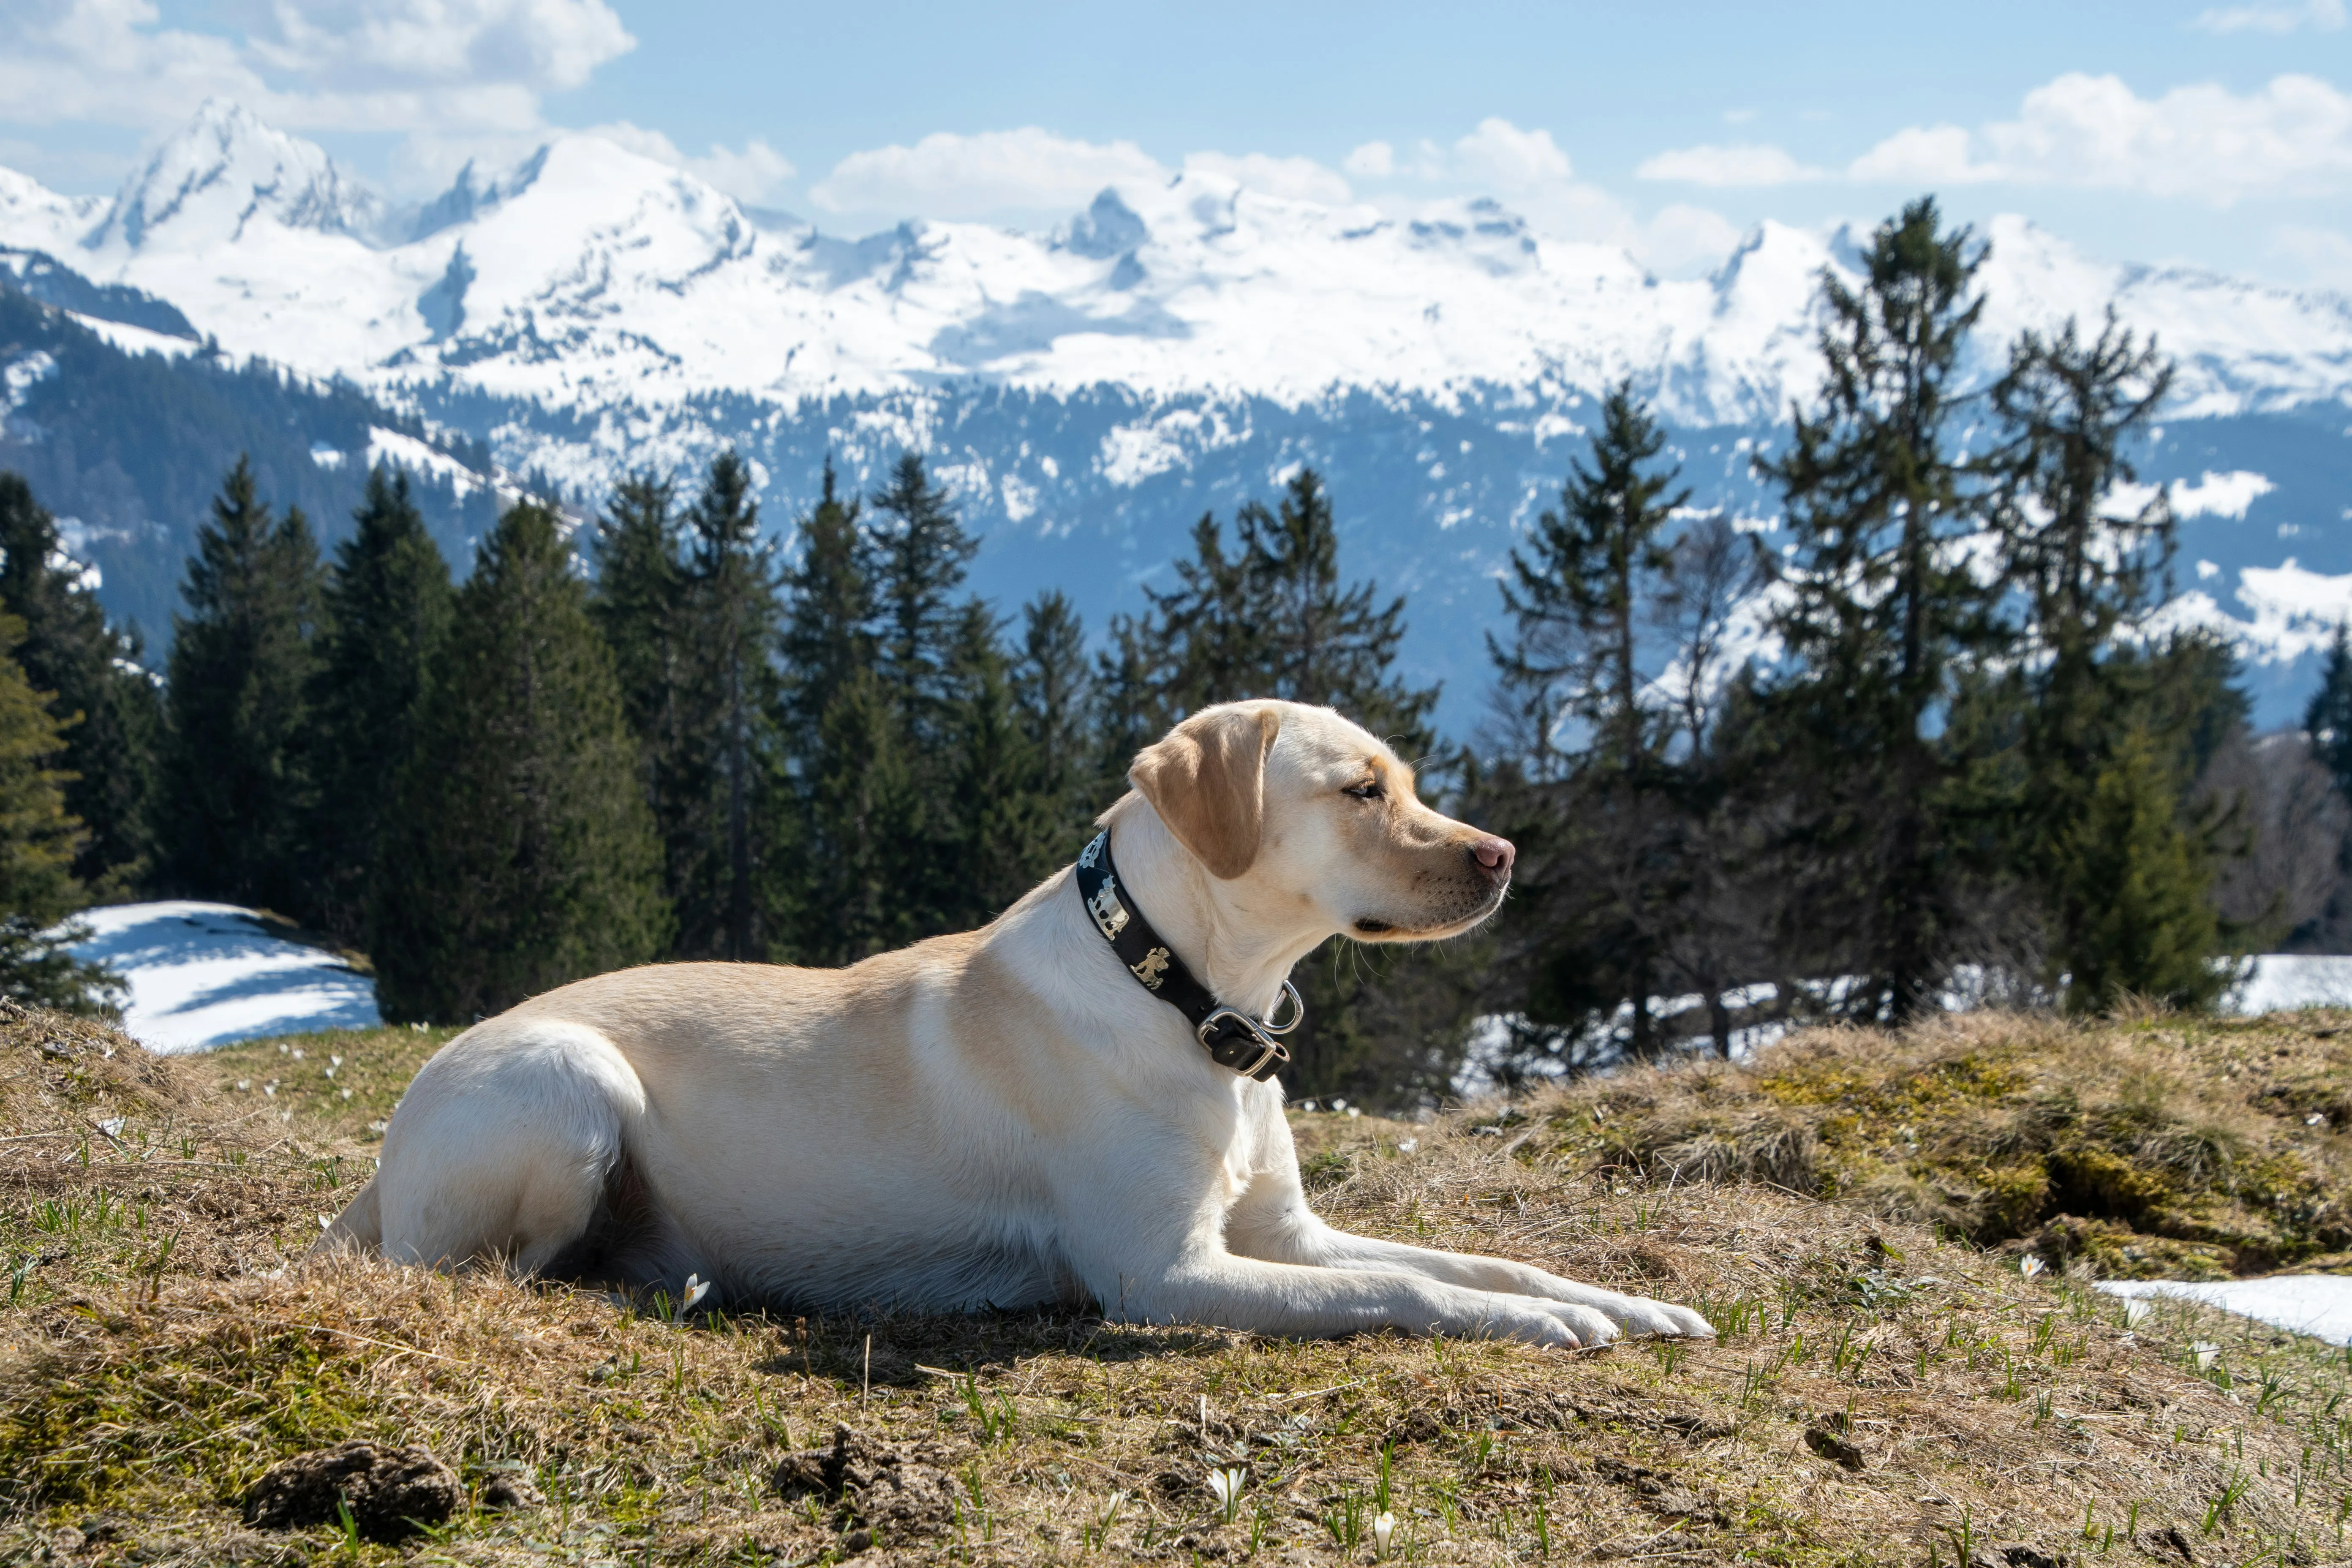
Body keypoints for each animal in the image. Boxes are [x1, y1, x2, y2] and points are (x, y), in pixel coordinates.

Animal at [317, 700, 1712, 1354]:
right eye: (1362, 790)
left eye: (1409, 781)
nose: (1504, 856)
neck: (1184, 993)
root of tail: (384, 1153)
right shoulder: (1165, 1275)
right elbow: (1404, 1286)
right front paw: (1540, 1328)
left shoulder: (1282, 1234)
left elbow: (1480, 1260)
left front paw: (1616, 1302)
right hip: (568, 1086)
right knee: (481, 1271)